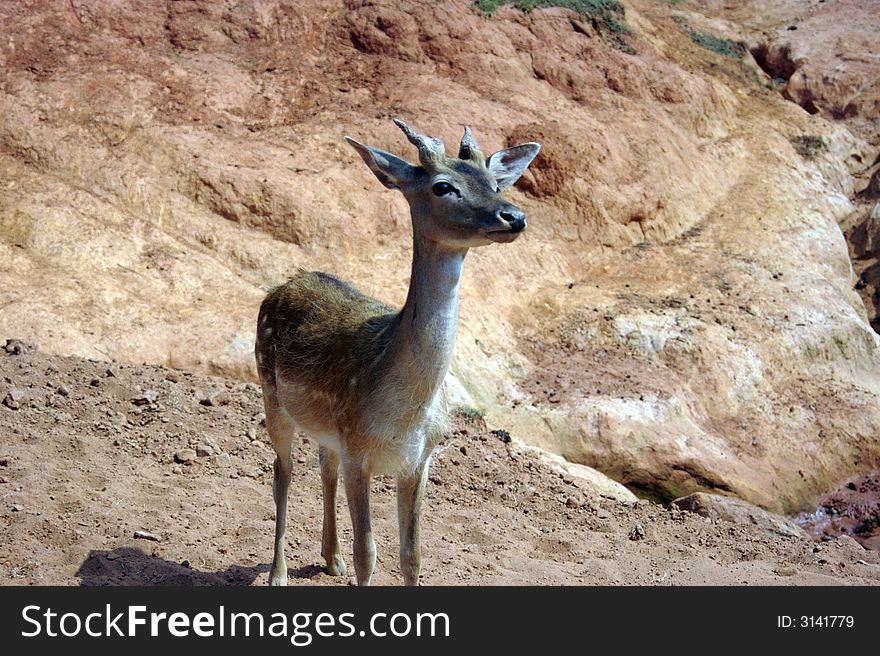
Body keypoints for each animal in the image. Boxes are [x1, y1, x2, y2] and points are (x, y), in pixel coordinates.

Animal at [254, 118, 540, 584]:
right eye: (443, 186)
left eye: (495, 182)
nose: (513, 216)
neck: (403, 415)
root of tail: (285, 283)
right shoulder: (358, 449)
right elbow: (367, 554)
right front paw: (349, 559)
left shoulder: (420, 458)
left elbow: (412, 555)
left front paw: (352, 558)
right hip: (270, 393)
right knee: (283, 471)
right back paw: (278, 573)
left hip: (325, 428)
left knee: (323, 463)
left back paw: (329, 557)